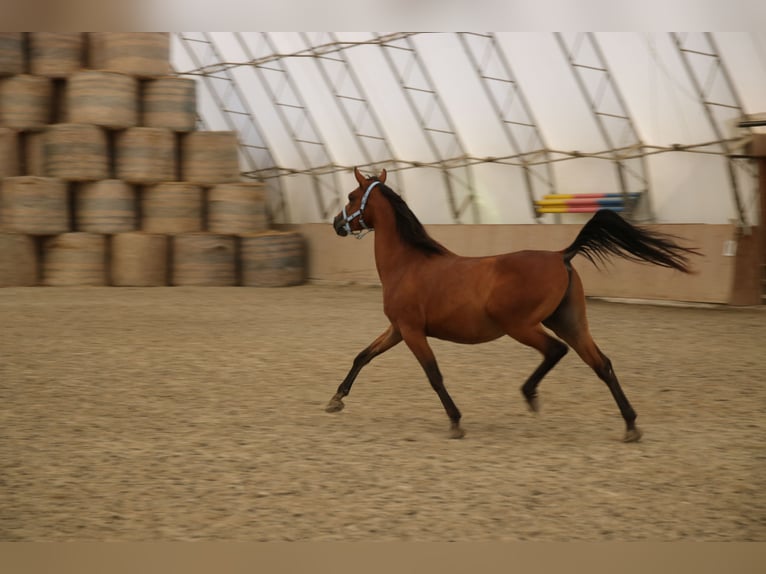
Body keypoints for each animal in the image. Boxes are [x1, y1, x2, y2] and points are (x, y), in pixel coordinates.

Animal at [326, 167, 698, 442]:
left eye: (352, 197)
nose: (336, 224)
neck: (409, 263)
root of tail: (561, 254)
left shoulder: (412, 331)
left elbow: (434, 375)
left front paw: (456, 422)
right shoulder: (397, 329)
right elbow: (363, 356)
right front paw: (336, 399)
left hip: (520, 326)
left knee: (556, 351)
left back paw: (530, 394)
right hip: (570, 322)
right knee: (601, 364)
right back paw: (630, 425)